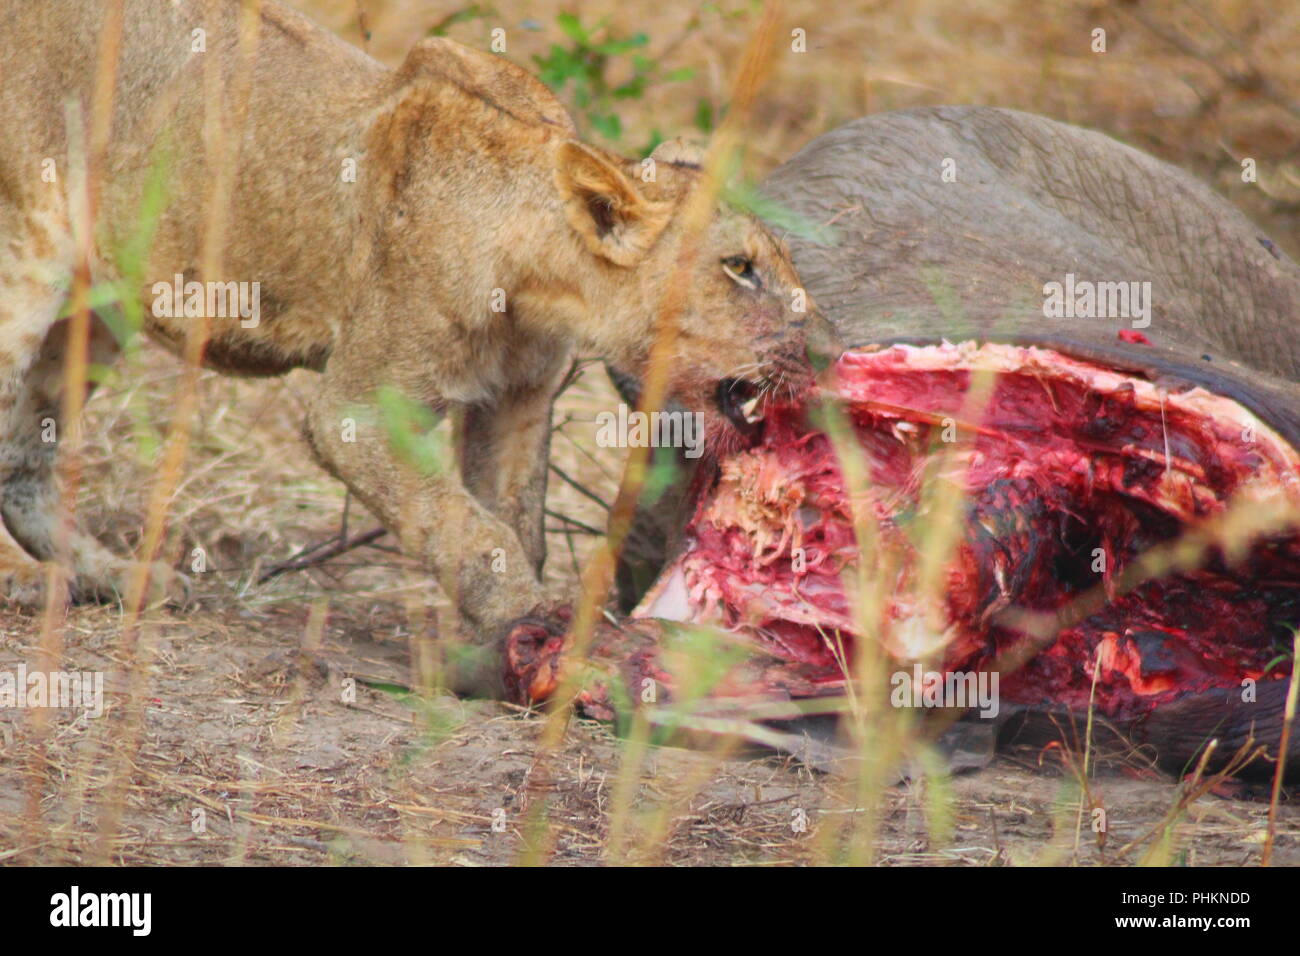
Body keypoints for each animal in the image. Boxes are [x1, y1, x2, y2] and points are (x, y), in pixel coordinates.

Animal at [0, 0, 832, 686]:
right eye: (739, 268)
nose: (828, 348)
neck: (533, 278)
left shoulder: (519, 403)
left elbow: (513, 519)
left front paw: (509, 648)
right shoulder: (355, 411)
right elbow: (466, 525)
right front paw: (542, 626)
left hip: (98, 304)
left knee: (24, 461)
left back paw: (113, 576)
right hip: (25, 256)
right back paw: (29, 578)